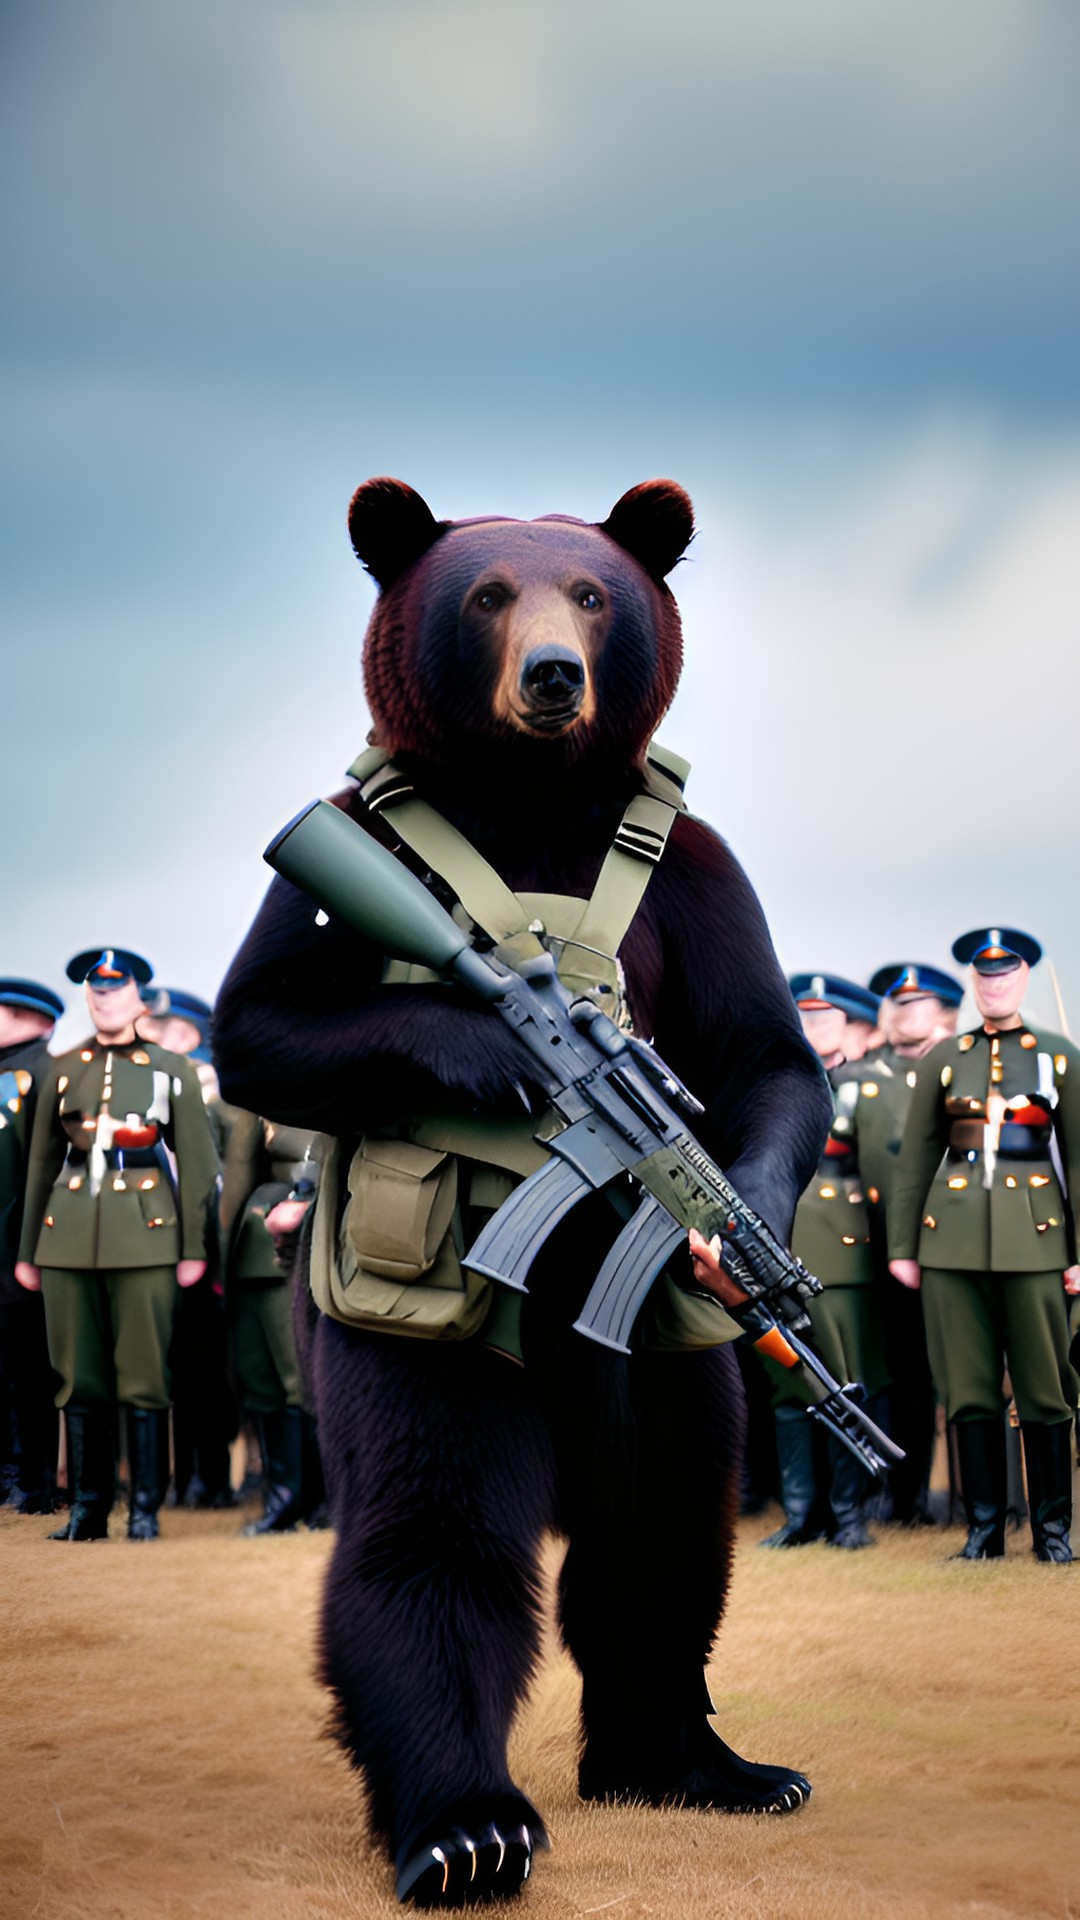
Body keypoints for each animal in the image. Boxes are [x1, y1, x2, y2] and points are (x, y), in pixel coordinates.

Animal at [212, 480, 834, 1904]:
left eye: (594, 595)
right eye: (489, 593)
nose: (555, 676)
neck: (537, 803)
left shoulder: (707, 869)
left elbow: (767, 1052)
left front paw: (743, 1233)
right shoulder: (345, 854)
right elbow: (253, 1025)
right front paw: (488, 1049)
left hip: (666, 1373)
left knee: (668, 1519)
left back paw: (687, 1769)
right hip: (417, 1347)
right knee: (436, 1536)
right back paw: (462, 1828)